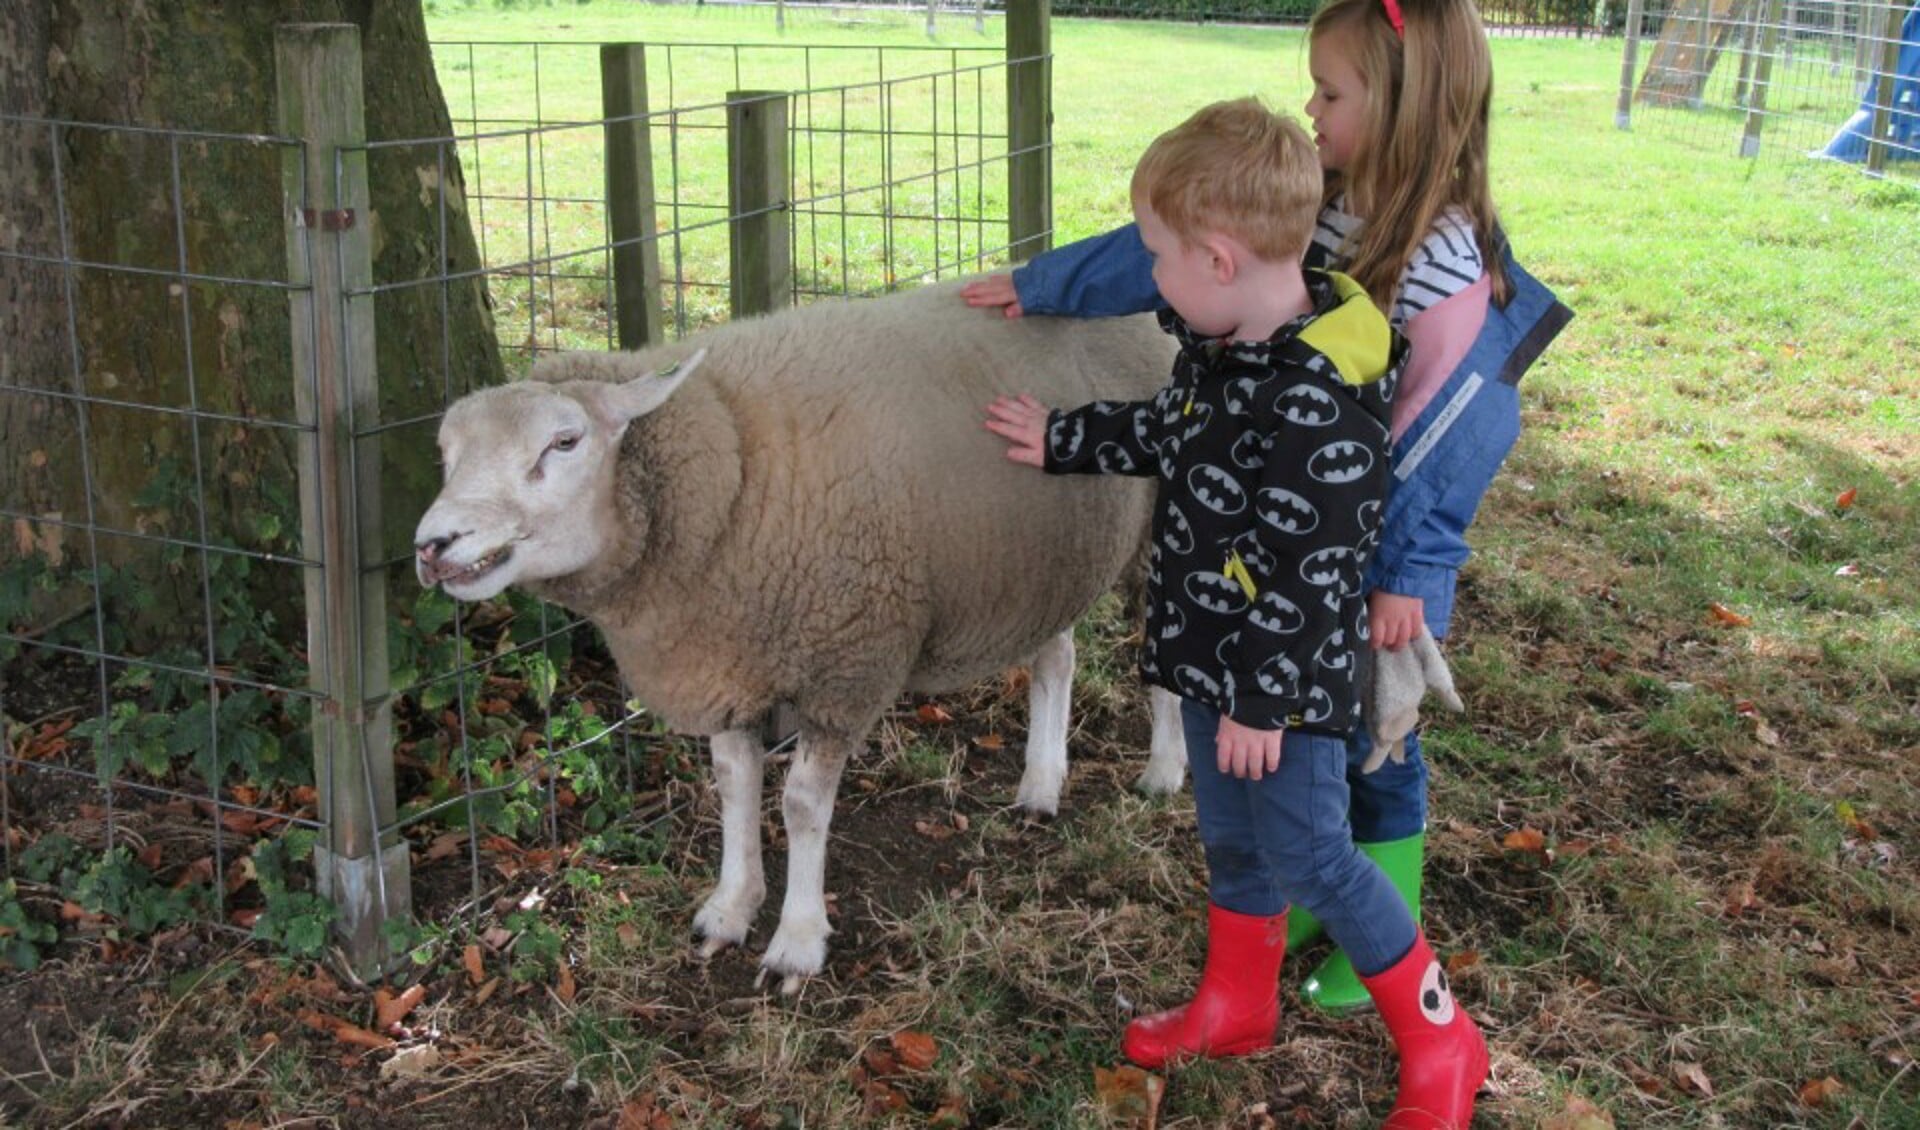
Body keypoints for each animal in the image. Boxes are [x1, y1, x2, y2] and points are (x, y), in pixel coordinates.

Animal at [416, 280, 1182, 989]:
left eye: (565, 441)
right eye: (445, 453)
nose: (431, 545)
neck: (730, 473)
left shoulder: (846, 662)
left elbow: (802, 805)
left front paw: (797, 941)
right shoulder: (727, 658)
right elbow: (734, 785)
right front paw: (729, 909)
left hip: (1149, 536)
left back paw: (1164, 772)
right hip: (1043, 563)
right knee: (1058, 656)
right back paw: (1041, 785)